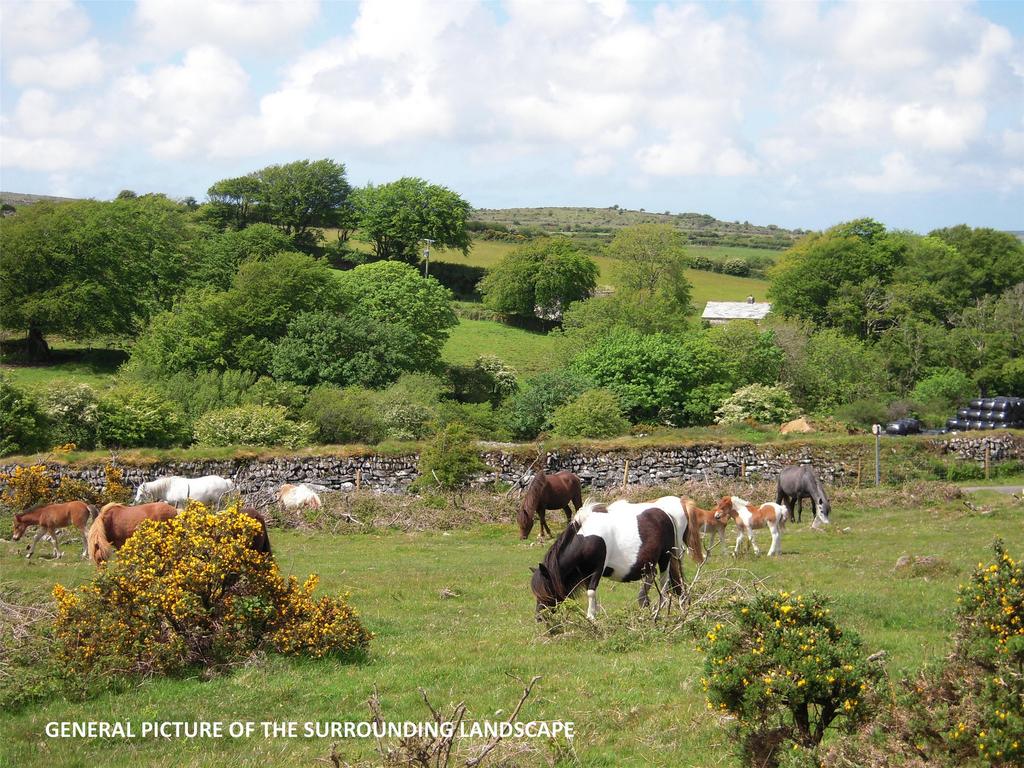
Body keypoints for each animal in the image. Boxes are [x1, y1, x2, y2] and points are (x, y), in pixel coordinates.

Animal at [528, 499, 704, 618]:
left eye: (546, 590)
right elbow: (591, 592)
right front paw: (594, 614)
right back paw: (644, 602)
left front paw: (591, 617)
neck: (586, 538)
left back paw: (661, 607)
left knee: (664, 583)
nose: (539, 617)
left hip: (665, 558)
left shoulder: (598, 568)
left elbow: (591, 592)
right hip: (650, 562)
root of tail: (667, 514)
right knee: (651, 577)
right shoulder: (585, 573)